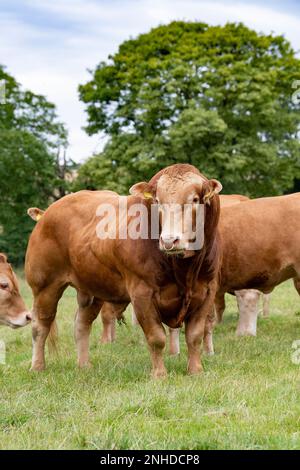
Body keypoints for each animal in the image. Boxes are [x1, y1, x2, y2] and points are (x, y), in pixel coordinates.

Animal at [25, 165, 223, 378]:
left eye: (194, 200)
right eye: (157, 201)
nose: (170, 240)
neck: (184, 270)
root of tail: (48, 212)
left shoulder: (207, 291)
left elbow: (195, 336)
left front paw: (196, 370)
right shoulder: (141, 293)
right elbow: (156, 337)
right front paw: (159, 374)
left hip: (92, 289)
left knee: (81, 324)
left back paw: (84, 365)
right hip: (45, 286)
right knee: (40, 325)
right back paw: (37, 366)